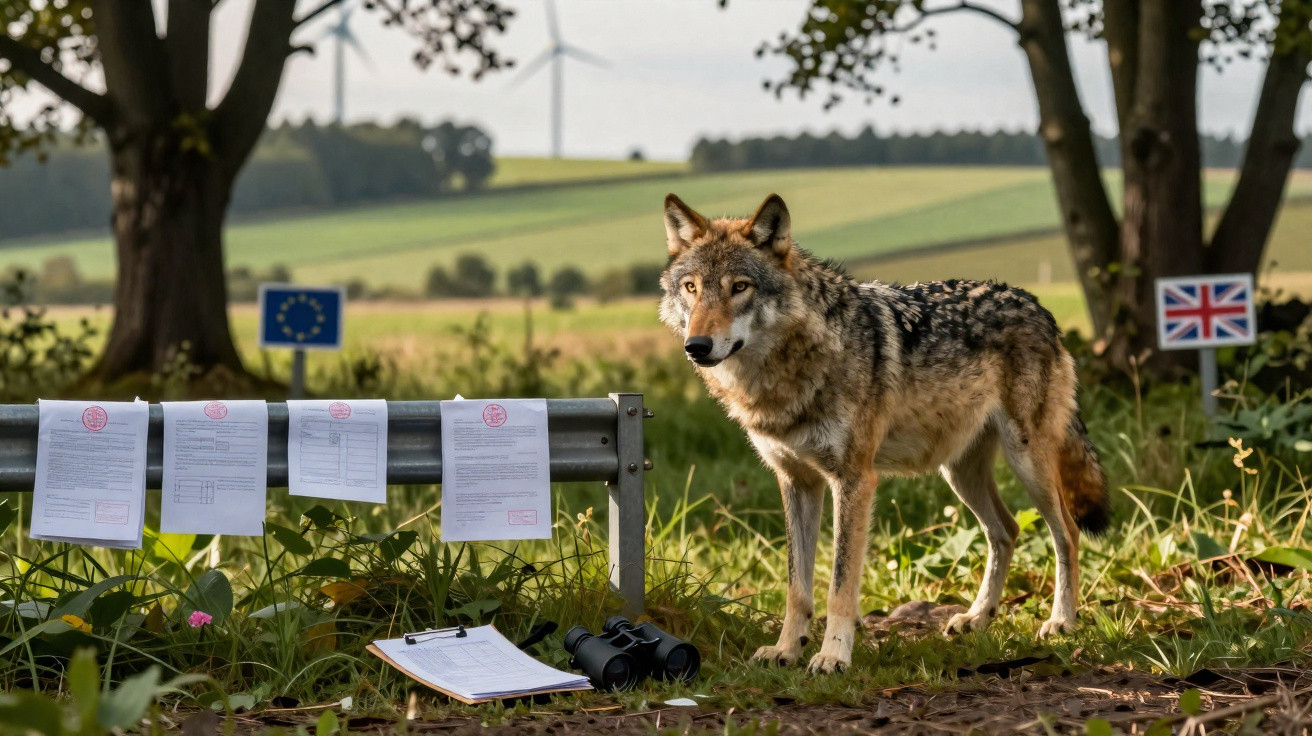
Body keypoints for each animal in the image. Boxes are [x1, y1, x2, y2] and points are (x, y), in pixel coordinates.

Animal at [658, 193, 1110, 674]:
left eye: (740, 286)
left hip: (1027, 464)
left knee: (1067, 533)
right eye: (692, 288)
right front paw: (786, 649)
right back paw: (977, 618)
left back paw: (1061, 622)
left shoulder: (854, 480)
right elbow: (797, 586)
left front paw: (833, 655)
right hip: (961, 474)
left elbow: (839, 586)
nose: (697, 346)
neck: (787, 374)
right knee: (1005, 531)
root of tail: (1036, 304)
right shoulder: (796, 482)